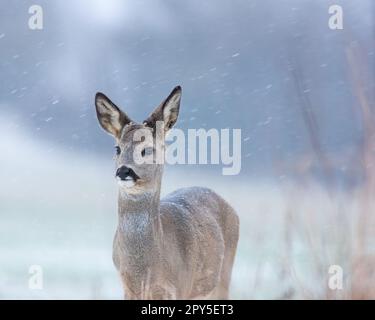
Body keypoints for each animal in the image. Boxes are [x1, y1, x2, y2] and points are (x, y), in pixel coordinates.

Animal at [95, 85, 239, 300]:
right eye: (117, 148)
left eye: (147, 149)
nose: (123, 171)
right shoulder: (127, 288)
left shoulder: (179, 286)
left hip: (223, 278)